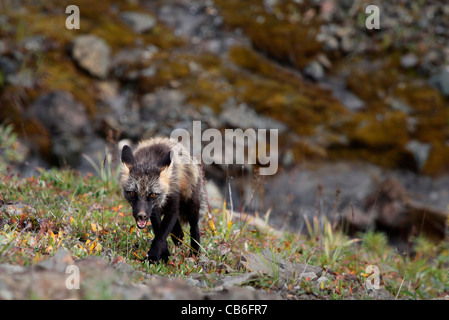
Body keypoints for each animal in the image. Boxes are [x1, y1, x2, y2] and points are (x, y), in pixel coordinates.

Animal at [121, 136, 208, 264]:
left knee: (194, 228)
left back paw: (195, 252)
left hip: (191, 205)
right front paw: (164, 254)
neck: (149, 161)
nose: (141, 216)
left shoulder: (172, 206)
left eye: (152, 194)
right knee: (178, 232)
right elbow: (159, 230)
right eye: (132, 193)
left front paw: (153, 257)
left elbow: (161, 235)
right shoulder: (154, 211)